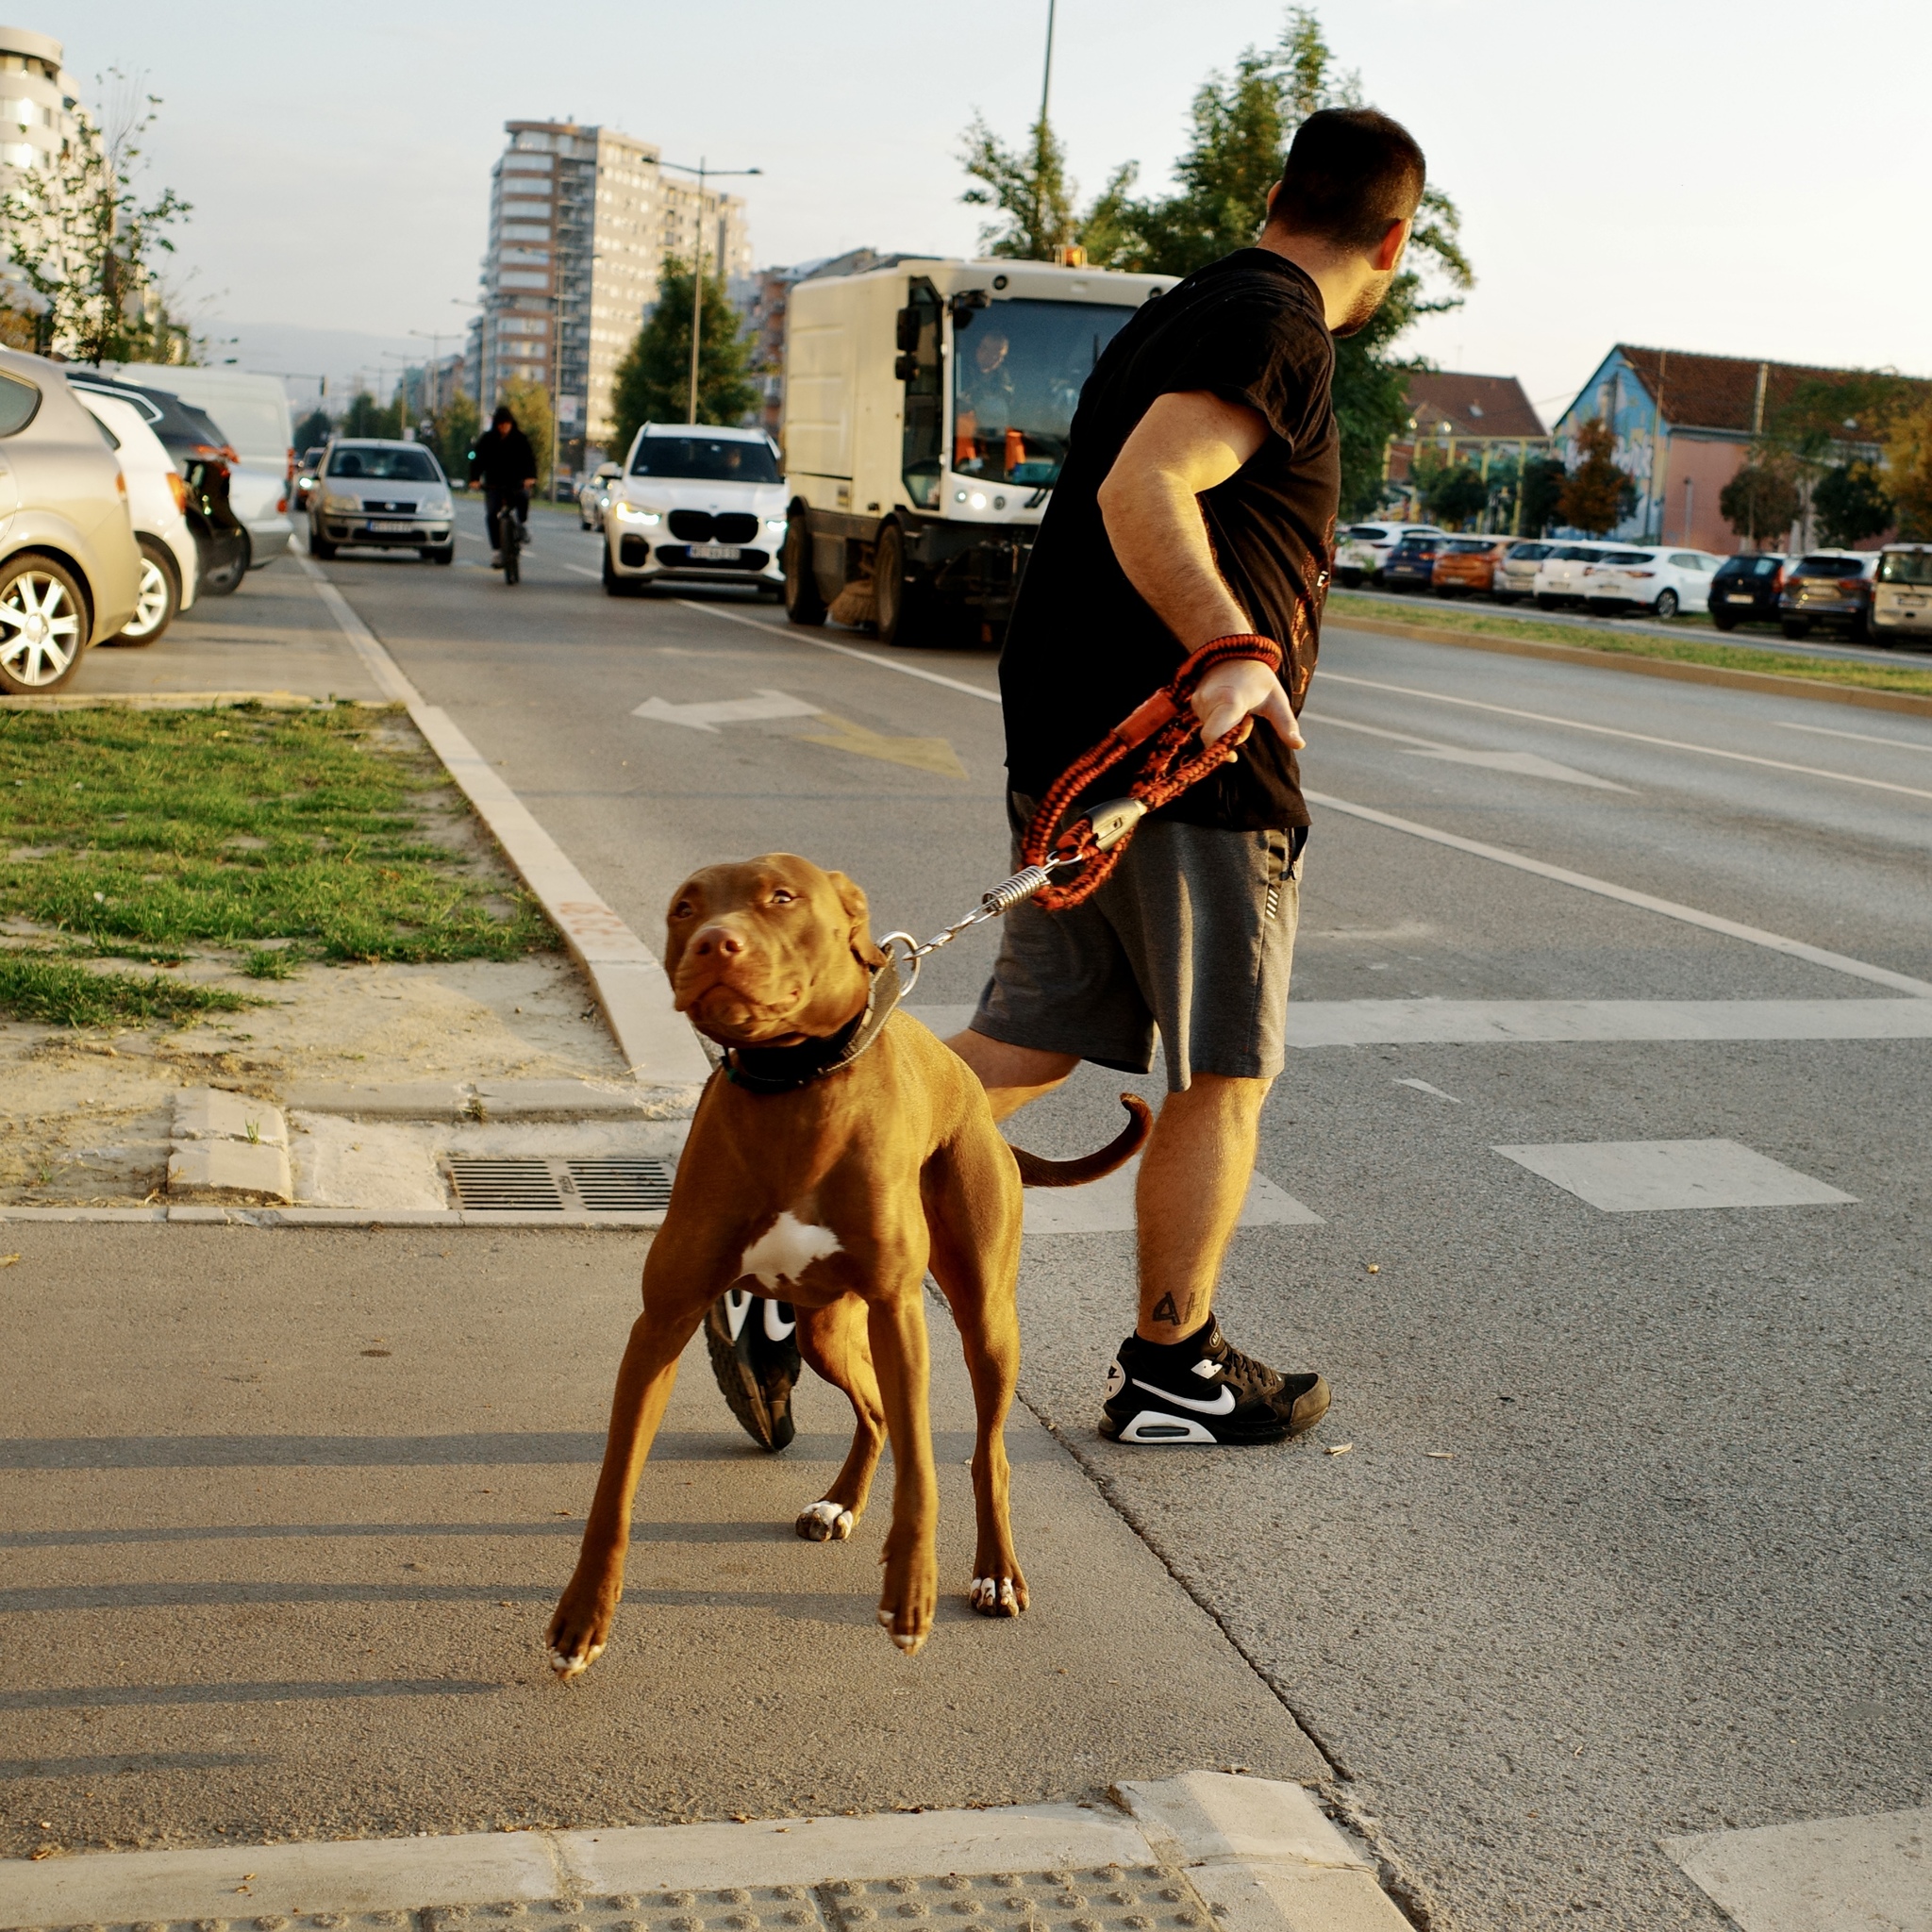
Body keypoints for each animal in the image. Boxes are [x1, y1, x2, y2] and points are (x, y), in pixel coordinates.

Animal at [544, 854, 1143, 1669]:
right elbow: (614, 1487)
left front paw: (911, 1592)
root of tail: (978, 1099)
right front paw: (583, 1615)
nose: (712, 942)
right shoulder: (662, 1323)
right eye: (684, 909)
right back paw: (840, 1502)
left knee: (985, 1453)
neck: (791, 1091)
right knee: (876, 1411)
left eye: (781, 897)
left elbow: (923, 1469)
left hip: (985, 1325)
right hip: (824, 1331)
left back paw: (994, 1573)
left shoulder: (899, 1312)